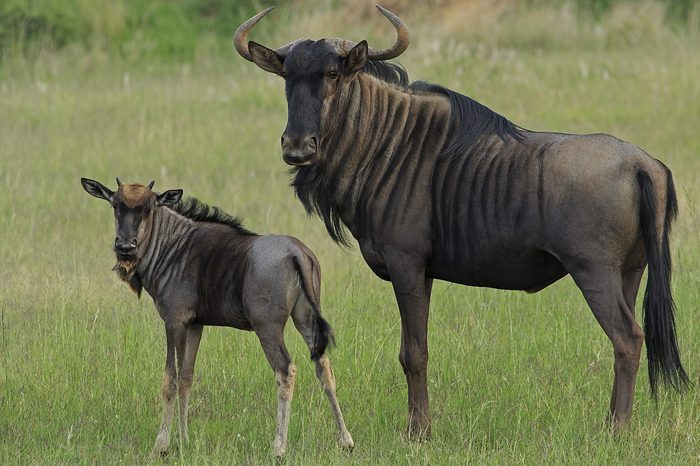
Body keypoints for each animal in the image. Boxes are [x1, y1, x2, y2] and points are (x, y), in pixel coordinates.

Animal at [80, 177, 356, 456]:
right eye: (115, 205)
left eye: (147, 208)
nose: (125, 247)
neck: (172, 246)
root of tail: (297, 253)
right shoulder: (195, 324)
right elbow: (186, 377)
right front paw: (184, 439)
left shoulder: (174, 321)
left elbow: (170, 380)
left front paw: (162, 444)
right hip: (305, 320)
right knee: (323, 367)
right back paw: (345, 440)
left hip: (268, 328)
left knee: (285, 370)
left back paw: (278, 446)